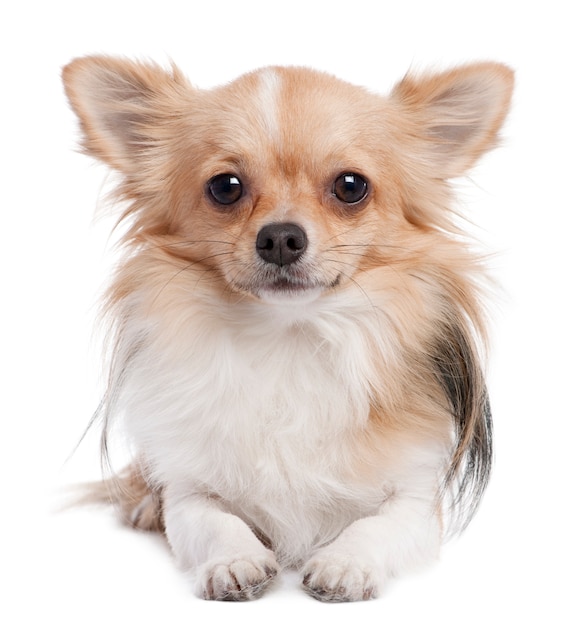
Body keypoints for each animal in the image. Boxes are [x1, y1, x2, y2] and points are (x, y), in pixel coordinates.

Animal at [63, 58, 516, 600]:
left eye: (350, 186)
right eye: (225, 187)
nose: (280, 237)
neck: (289, 341)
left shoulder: (417, 500)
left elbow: (378, 525)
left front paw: (345, 563)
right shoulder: (191, 491)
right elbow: (211, 519)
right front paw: (234, 560)